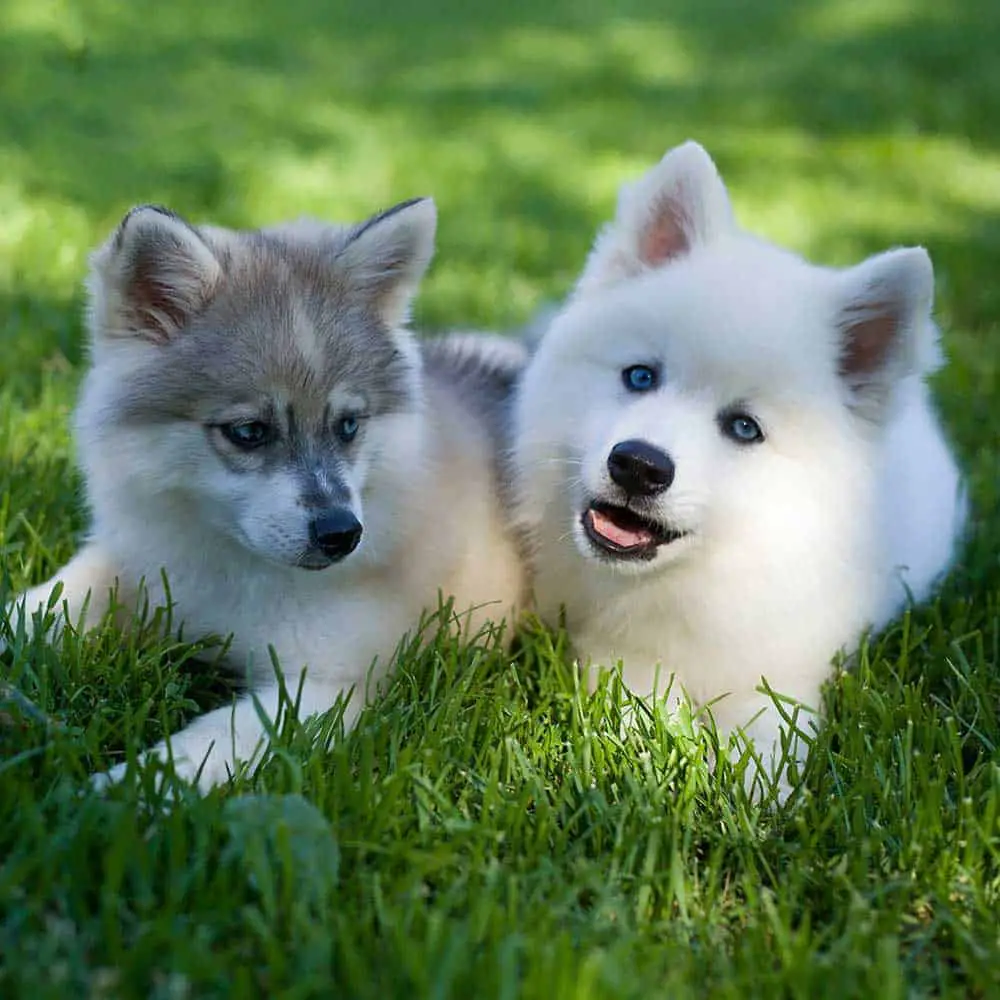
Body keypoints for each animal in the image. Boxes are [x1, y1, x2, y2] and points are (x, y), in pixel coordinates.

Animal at [7, 197, 528, 788]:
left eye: (349, 425)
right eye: (249, 431)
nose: (341, 533)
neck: (234, 568)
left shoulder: (320, 687)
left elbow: (203, 746)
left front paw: (121, 791)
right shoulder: (129, 561)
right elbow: (40, 605)